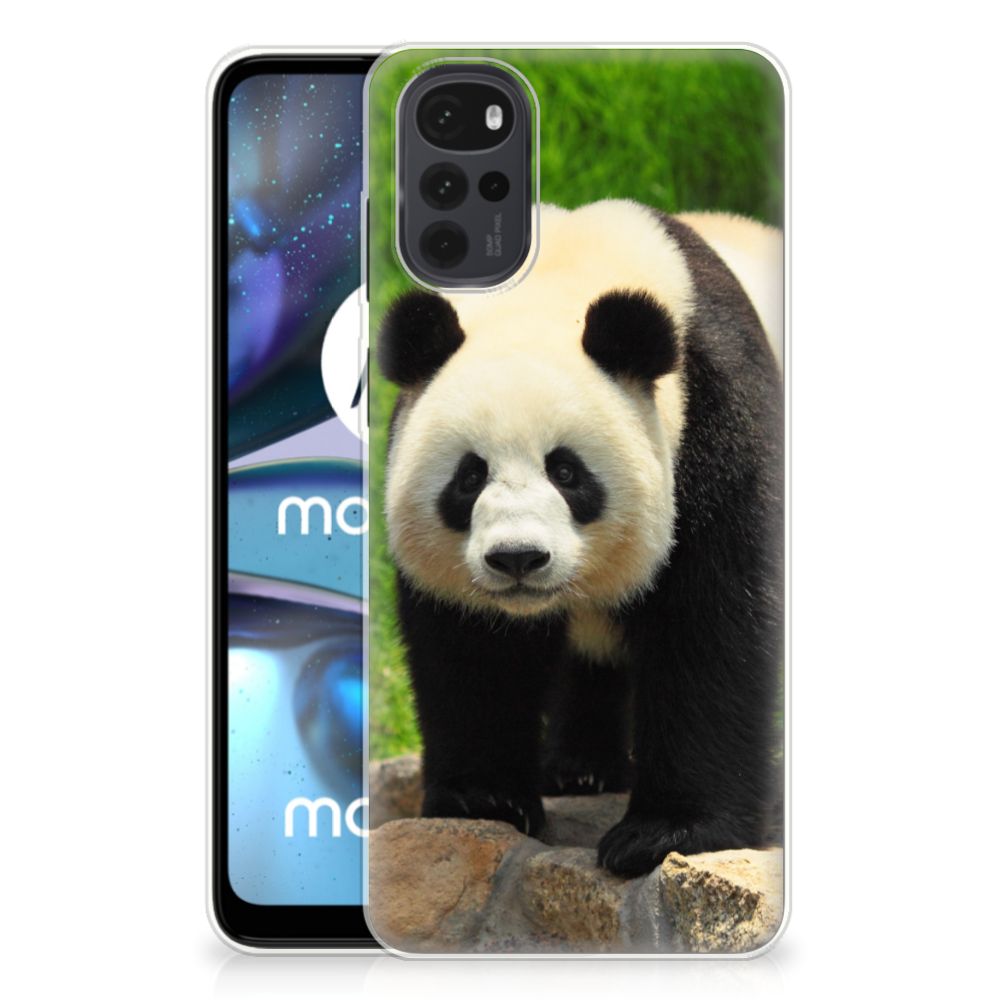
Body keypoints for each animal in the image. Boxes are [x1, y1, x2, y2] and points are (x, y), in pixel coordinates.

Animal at [376, 200, 783, 878]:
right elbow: (470, 648)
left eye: (566, 472)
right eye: (469, 476)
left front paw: (665, 833)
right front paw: (484, 799)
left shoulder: (717, 418)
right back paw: (580, 769)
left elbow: (713, 623)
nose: (517, 558)